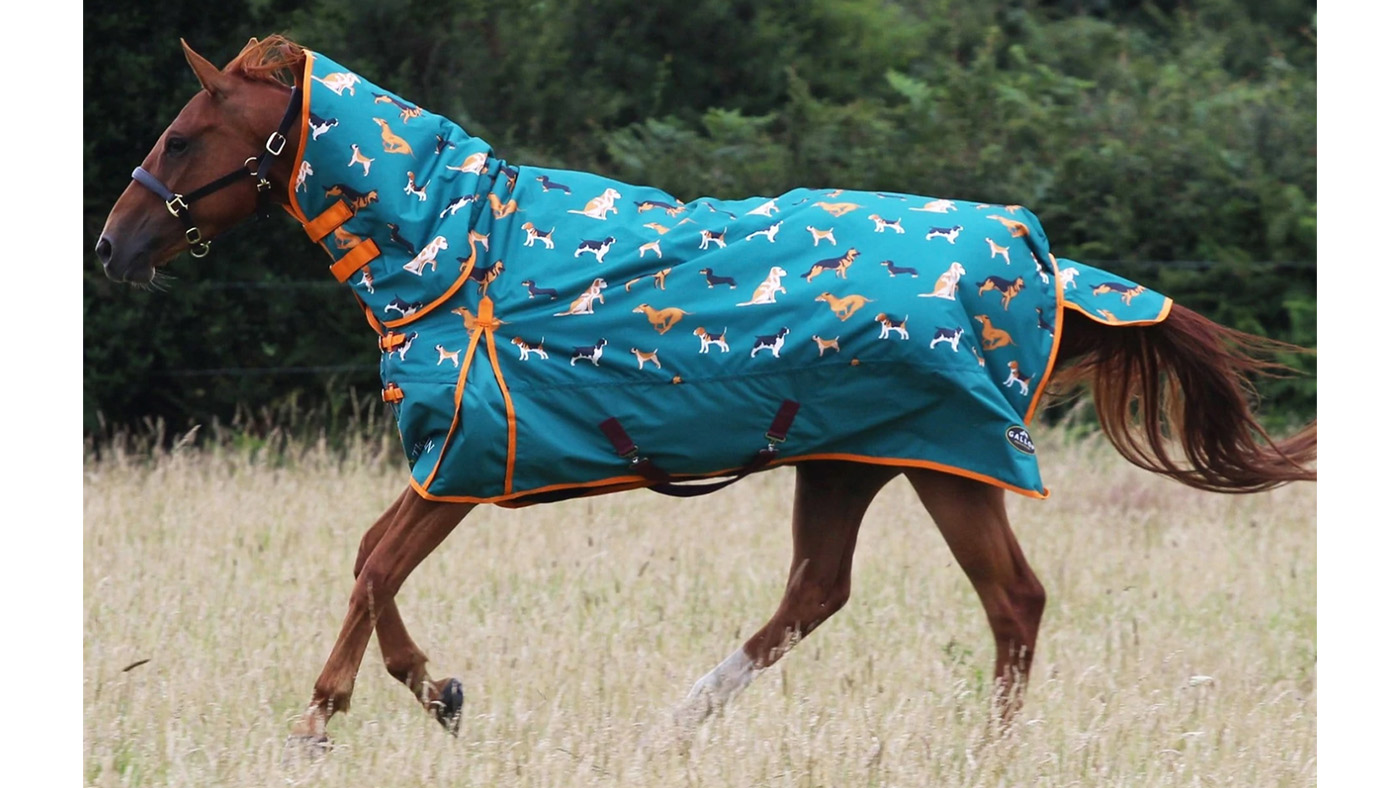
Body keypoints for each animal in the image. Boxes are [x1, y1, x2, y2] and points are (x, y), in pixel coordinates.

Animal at [93, 36, 1317, 749]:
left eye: (183, 134)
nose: (113, 243)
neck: (458, 249)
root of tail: (1036, 257)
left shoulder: (461, 463)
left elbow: (374, 565)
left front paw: (331, 713)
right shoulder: (453, 465)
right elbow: (369, 562)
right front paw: (431, 692)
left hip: (949, 464)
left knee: (1012, 604)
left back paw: (986, 756)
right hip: (848, 463)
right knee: (815, 595)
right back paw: (671, 725)